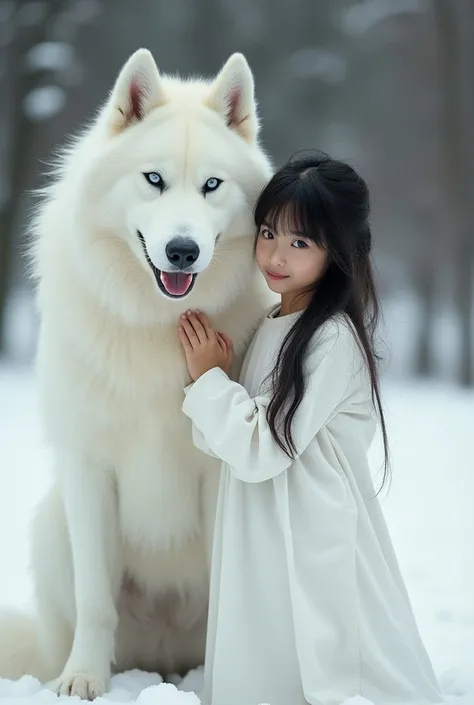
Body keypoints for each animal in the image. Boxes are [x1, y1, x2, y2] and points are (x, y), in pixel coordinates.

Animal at [0, 48, 272, 700]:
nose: (182, 251)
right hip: (53, 522)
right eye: (154, 180)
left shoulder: (217, 474)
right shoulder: (89, 466)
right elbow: (96, 601)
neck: (157, 325)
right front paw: (83, 680)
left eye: (211, 185)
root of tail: (164, 654)